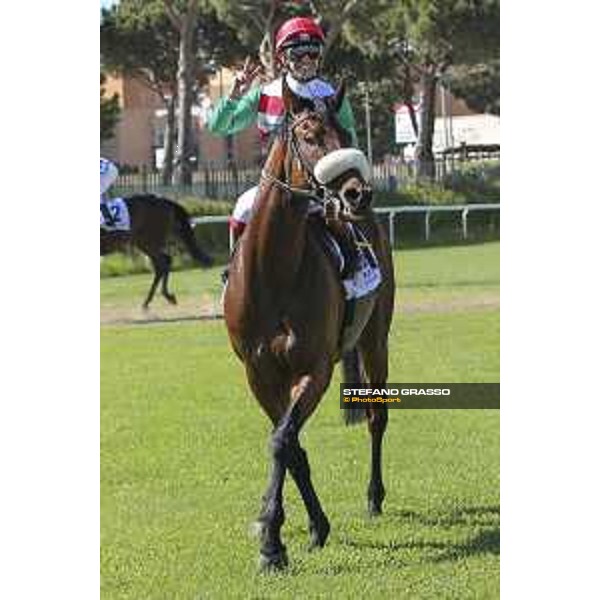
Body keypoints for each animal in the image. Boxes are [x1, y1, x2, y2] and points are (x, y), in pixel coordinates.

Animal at [223, 81, 396, 572]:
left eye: (346, 133)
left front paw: (271, 541)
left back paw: (374, 497)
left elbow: (283, 441)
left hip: (376, 340)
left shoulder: (314, 368)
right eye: (309, 134)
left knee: (377, 416)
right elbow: (289, 443)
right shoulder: (260, 374)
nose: (359, 194)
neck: (272, 274)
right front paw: (306, 528)